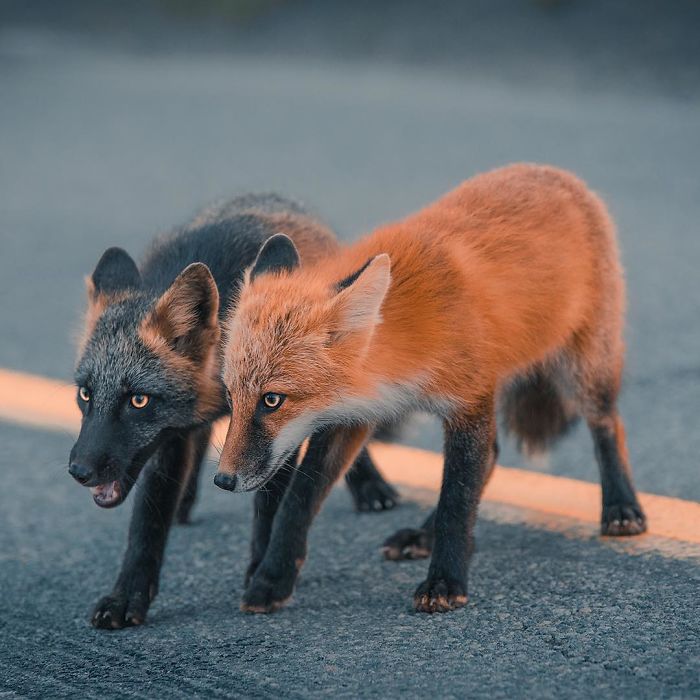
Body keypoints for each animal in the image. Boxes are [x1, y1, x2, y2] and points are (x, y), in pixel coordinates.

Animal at [69, 194, 397, 629]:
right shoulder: (172, 435)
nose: (79, 471)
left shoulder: (278, 430)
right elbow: (146, 523)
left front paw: (261, 572)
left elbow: (270, 505)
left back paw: (371, 485)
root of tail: (273, 199)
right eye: (85, 394)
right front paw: (128, 597)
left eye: (137, 400)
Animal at [215, 163, 647, 615]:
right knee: (494, 454)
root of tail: (552, 172)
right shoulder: (352, 416)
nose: (223, 480)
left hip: (585, 365)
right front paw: (271, 580)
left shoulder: (469, 401)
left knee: (606, 424)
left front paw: (445, 581)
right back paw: (422, 535)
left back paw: (621, 506)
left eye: (272, 400)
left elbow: (456, 501)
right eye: (230, 396)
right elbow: (297, 503)